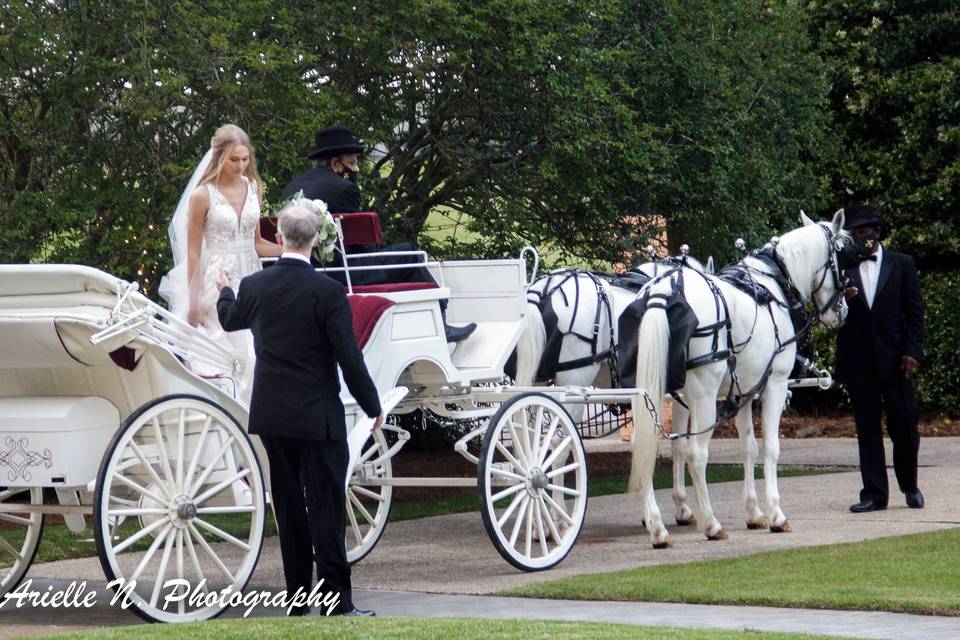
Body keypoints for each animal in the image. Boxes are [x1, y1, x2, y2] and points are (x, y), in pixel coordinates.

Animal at [632, 212, 848, 548]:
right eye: (839, 255)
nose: (841, 311)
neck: (772, 283)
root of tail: (663, 291)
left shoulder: (745, 390)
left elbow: (749, 447)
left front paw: (754, 512)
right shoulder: (774, 384)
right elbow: (771, 447)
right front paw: (775, 514)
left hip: (648, 392)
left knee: (644, 445)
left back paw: (657, 527)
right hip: (702, 395)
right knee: (696, 454)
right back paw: (710, 523)